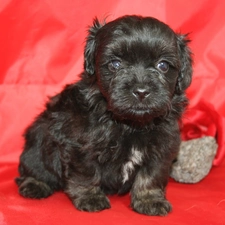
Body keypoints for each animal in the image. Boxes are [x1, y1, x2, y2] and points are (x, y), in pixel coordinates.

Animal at [15, 15, 192, 216]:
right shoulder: (80, 145)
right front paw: (90, 198)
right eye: (115, 64)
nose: (141, 91)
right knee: (34, 166)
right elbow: (85, 173)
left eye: (163, 65)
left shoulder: (162, 146)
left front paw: (149, 200)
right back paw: (35, 184)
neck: (130, 123)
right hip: (38, 140)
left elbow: (152, 175)